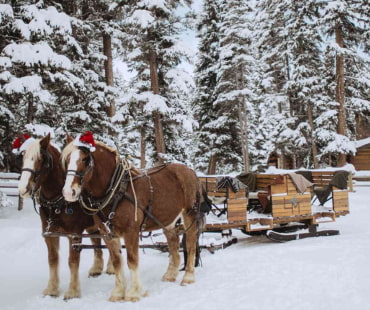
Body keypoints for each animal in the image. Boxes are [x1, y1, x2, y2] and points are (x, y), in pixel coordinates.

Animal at [18, 134, 113, 300]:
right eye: (23, 158)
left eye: (40, 159)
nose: (22, 189)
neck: (57, 202)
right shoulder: (49, 233)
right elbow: (52, 259)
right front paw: (52, 289)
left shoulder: (74, 234)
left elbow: (72, 261)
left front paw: (72, 291)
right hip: (93, 225)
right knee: (97, 242)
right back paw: (96, 268)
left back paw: (111, 268)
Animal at [60, 137, 201, 302]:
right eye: (67, 160)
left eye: (84, 159)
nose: (68, 192)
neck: (117, 190)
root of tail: (190, 171)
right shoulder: (107, 233)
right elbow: (116, 261)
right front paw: (118, 292)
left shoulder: (131, 231)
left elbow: (132, 260)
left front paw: (133, 292)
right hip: (168, 221)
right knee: (173, 244)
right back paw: (170, 274)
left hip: (189, 214)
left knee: (190, 244)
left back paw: (188, 277)